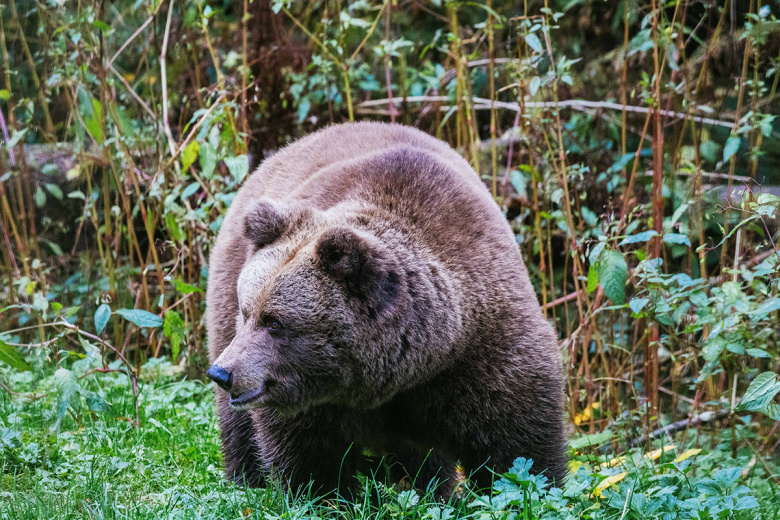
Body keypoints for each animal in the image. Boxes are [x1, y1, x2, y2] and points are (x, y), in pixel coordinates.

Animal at [205, 122, 567, 498]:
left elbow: (515, 442)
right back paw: (246, 482)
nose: (223, 373)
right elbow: (309, 451)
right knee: (240, 429)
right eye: (249, 312)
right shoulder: (308, 393)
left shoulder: (481, 345)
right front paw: (327, 494)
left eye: (275, 322)